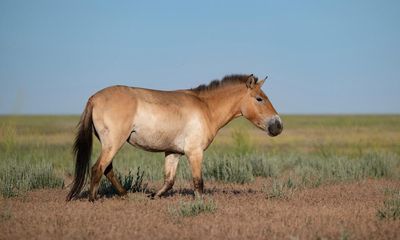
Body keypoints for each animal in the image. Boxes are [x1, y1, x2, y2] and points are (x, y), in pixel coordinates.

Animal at [66, 73, 282, 201]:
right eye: (259, 99)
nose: (278, 126)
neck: (205, 108)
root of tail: (94, 98)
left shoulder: (173, 152)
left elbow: (169, 181)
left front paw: (153, 196)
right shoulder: (194, 152)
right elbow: (198, 183)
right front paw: (200, 204)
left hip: (110, 144)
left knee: (107, 169)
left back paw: (125, 195)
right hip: (114, 143)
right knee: (98, 168)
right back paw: (93, 200)